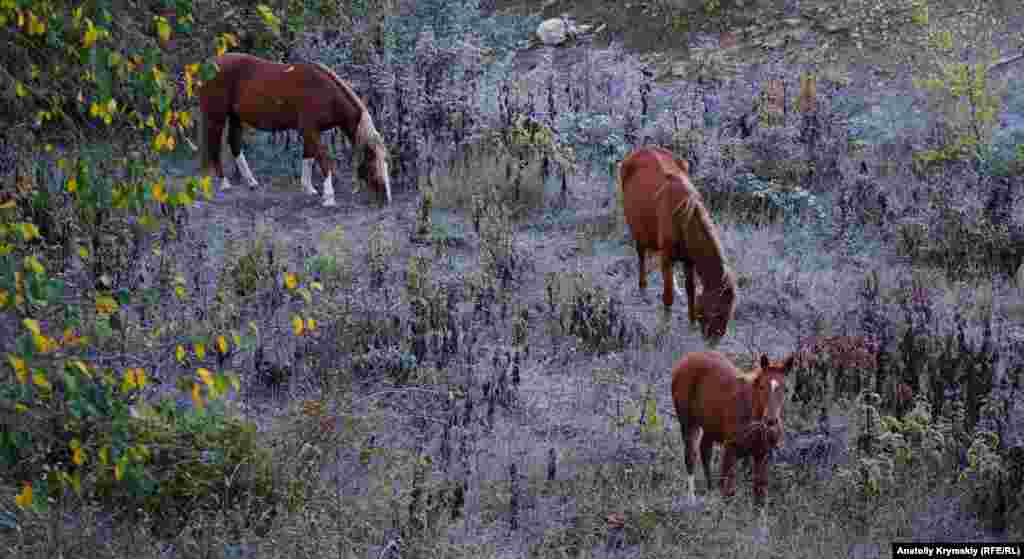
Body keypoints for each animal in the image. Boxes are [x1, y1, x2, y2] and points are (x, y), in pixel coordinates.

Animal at [196, 51, 391, 204]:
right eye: (372, 160)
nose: (386, 198)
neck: (325, 94)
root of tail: (207, 65)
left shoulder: (312, 132)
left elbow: (309, 156)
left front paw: (308, 188)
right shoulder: (309, 130)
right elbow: (324, 160)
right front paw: (328, 196)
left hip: (235, 117)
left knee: (234, 143)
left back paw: (251, 181)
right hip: (216, 117)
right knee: (214, 147)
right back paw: (224, 183)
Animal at [614, 145, 737, 339]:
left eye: (730, 311)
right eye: (716, 311)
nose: (714, 340)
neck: (683, 218)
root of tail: (640, 151)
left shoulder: (689, 260)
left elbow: (691, 290)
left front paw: (691, 323)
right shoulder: (667, 257)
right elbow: (668, 295)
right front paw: (664, 327)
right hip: (636, 228)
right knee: (641, 255)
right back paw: (642, 287)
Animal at [667, 352, 794, 503]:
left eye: (786, 389)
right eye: (762, 386)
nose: (771, 420)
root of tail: (687, 358)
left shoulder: (762, 455)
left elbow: (759, 494)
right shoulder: (730, 450)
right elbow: (727, 491)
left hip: (710, 427)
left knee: (705, 452)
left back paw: (710, 489)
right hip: (688, 424)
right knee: (690, 457)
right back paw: (692, 499)